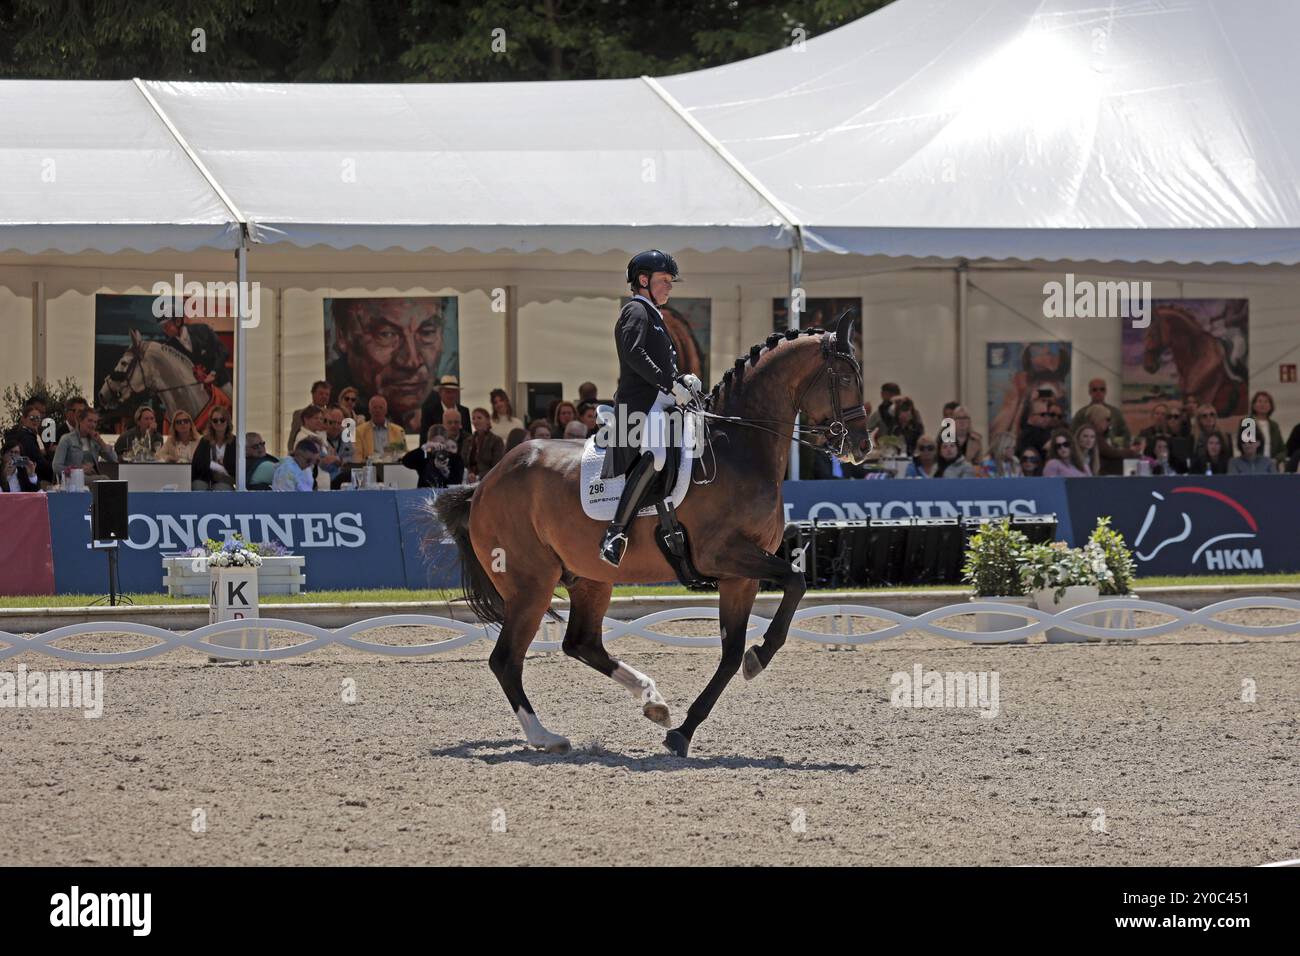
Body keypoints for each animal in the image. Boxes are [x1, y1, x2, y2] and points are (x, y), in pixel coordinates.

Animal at [436, 310, 873, 759]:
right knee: (506, 660)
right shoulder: (724, 555)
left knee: (581, 642)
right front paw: (760, 655)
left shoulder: (740, 576)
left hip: (589, 578)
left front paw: (685, 729)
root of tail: (486, 482)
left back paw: (653, 701)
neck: (739, 449)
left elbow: (733, 652)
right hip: (531, 584)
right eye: (845, 377)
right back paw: (547, 737)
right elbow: (796, 580)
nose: (861, 446)